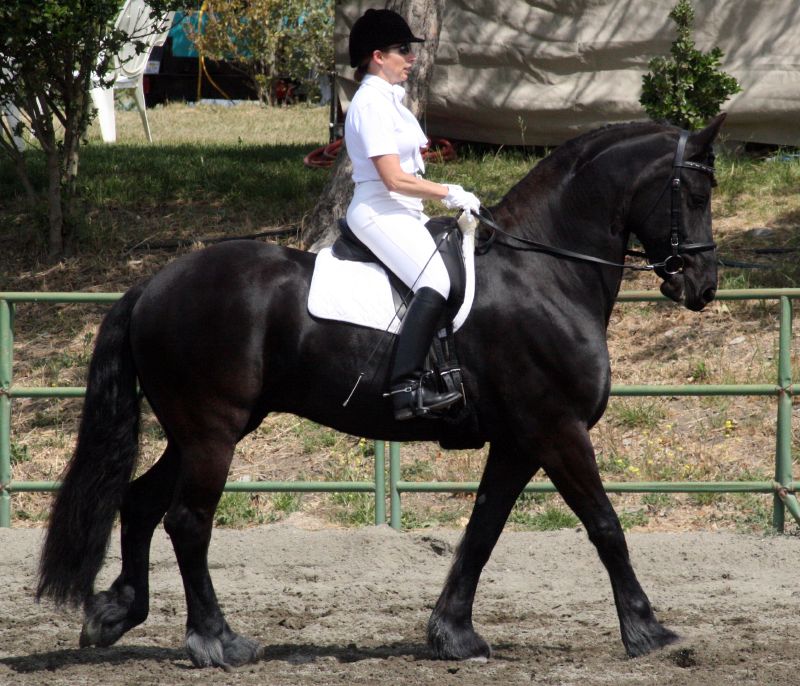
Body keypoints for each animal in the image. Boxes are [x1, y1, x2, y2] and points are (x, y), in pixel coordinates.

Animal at [36, 115, 724, 668]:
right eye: (693, 192)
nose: (702, 283)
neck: (545, 270)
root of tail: (153, 283)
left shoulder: (519, 440)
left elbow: (484, 528)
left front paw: (453, 635)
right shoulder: (556, 429)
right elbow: (605, 524)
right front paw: (648, 630)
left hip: (199, 429)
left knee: (140, 502)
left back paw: (116, 614)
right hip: (213, 430)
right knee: (187, 520)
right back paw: (216, 642)